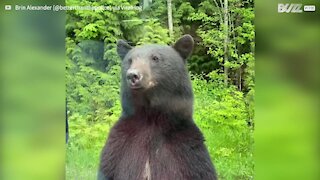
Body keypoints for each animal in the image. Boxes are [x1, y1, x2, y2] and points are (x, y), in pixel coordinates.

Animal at [98, 34, 218, 179]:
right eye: (130, 60)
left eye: (155, 58)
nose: (133, 75)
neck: (152, 118)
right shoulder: (118, 150)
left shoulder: (188, 152)